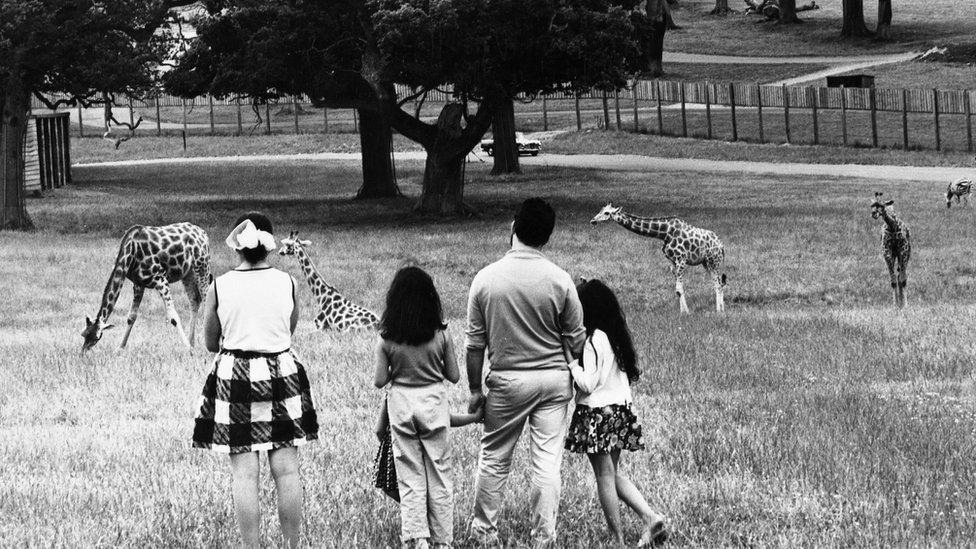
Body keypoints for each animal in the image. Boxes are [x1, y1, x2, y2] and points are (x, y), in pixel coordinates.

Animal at [83, 222, 214, 352]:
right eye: (83, 334)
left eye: (96, 337)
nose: (83, 352)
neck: (130, 251)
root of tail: (203, 233)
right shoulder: (138, 283)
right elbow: (131, 317)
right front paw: (120, 347)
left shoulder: (160, 278)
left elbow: (173, 317)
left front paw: (189, 350)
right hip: (188, 273)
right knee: (195, 300)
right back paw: (192, 342)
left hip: (202, 266)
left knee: (206, 299)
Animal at [588, 202, 724, 314]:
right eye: (601, 210)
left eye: (607, 213)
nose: (592, 220)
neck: (664, 233)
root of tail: (721, 245)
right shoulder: (672, 261)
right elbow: (678, 290)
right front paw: (682, 312)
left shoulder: (682, 259)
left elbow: (679, 289)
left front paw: (687, 313)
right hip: (706, 263)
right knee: (718, 282)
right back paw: (721, 309)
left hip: (714, 260)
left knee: (719, 283)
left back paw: (719, 311)